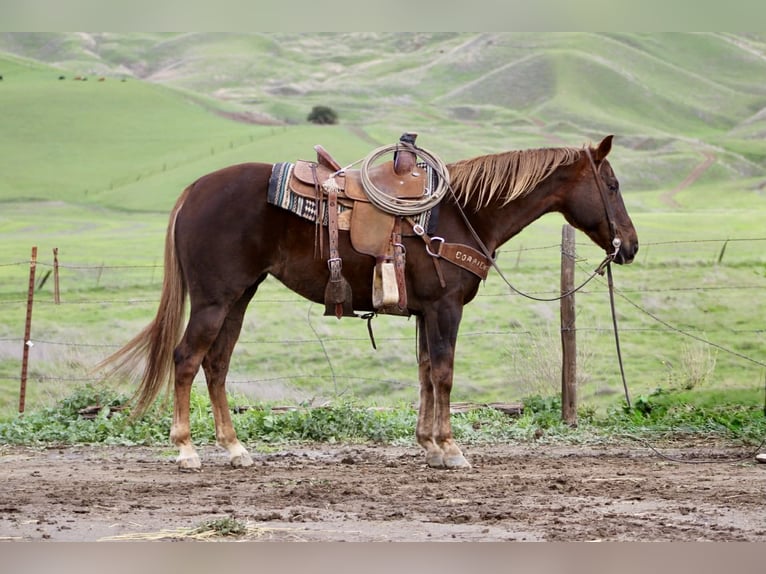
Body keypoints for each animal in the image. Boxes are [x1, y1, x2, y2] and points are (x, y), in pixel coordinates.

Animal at [99, 135, 638, 470]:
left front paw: (428, 446)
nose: (628, 246)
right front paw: (450, 449)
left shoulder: (426, 313)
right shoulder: (446, 308)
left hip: (240, 298)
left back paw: (234, 449)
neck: (462, 214)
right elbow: (444, 373)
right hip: (215, 299)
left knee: (217, 364)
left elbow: (425, 373)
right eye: (612, 185)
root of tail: (193, 190)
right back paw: (186, 451)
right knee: (187, 360)